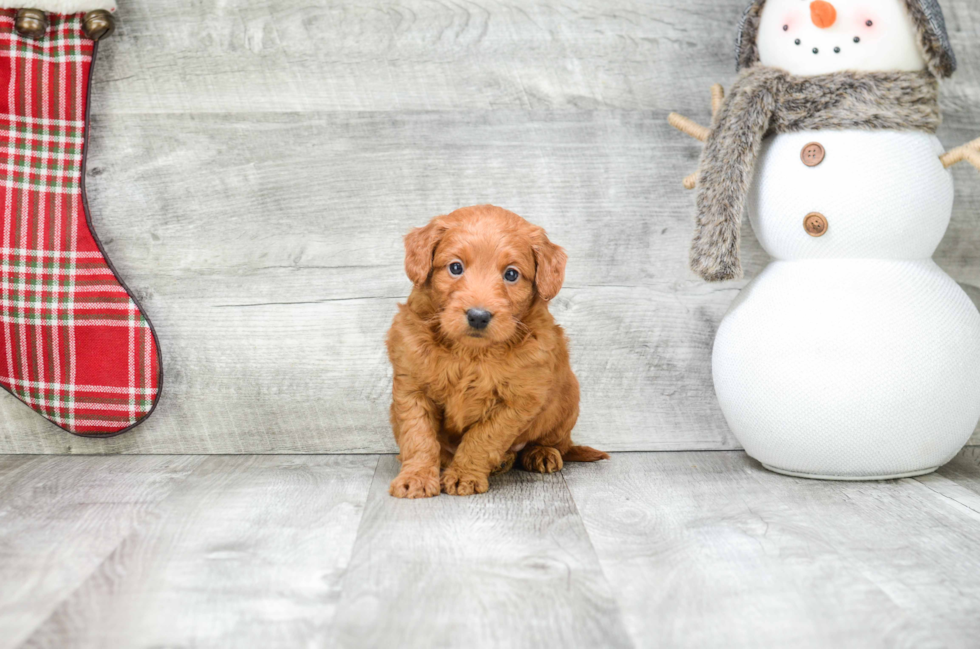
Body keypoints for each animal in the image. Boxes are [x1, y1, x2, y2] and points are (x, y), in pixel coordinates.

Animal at [386, 205, 608, 498]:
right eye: (455, 267)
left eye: (511, 274)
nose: (478, 316)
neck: (471, 353)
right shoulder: (412, 386)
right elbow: (418, 436)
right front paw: (417, 477)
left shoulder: (521, 398)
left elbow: (483, 437)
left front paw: (464, 475)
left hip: (566, 401)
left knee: (555, 442)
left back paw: (539, 453)